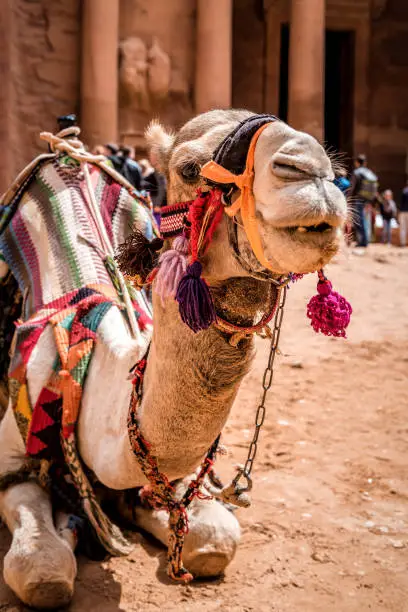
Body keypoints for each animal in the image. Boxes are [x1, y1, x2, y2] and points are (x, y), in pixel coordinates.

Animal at [0, 110, 348, 608]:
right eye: (188, 168)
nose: (310, 171)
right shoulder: (13, 455)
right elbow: (41, 571)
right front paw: (71, 531)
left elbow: (215, 539)